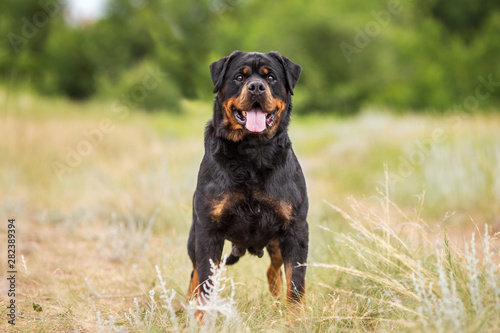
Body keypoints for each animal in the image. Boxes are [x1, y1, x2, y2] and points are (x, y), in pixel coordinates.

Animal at [186, 50, 306, 310]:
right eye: (239, 77)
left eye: (270, 77)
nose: (257, 87)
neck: (252, 153)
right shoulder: (208, 229)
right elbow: (205, 283)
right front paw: (200, 316)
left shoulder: (295, 228)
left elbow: (295, 286)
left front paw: (296, 317)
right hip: (193, 236)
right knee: (194, 273)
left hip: (277, 240)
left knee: (273, 271)